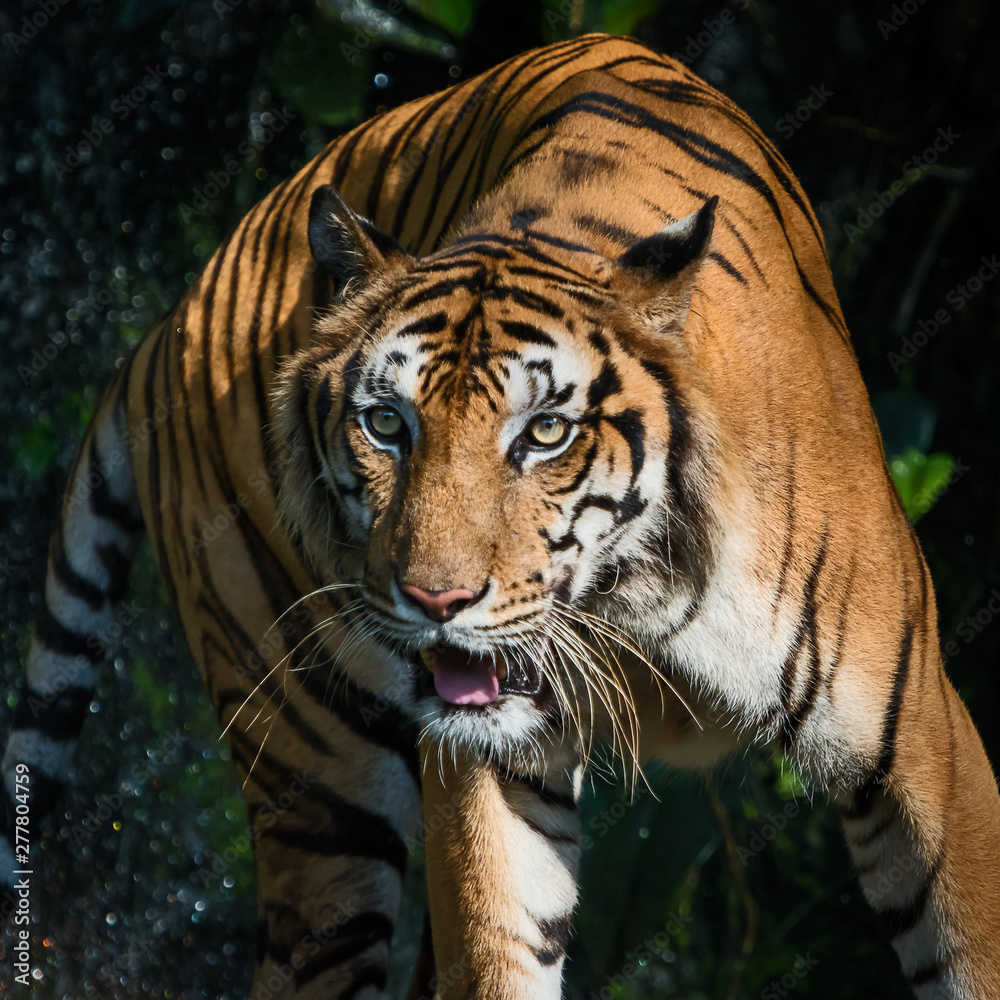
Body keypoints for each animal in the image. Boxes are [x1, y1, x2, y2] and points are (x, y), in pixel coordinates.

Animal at [3, 30, 999, 1000]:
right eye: (386, 423)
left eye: (546, 432)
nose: (435, 603)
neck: (634, 603)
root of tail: (173, 313)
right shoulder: (488, 770)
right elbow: (500, 945)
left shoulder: (926, 748)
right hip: (314, 773)